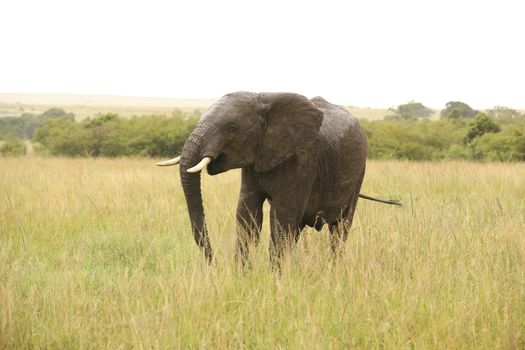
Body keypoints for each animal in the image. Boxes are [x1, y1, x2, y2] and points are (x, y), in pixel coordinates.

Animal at [156, 91, 398, 264]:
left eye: (232, 128)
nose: (211, 261)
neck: (263, 98)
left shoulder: (302, 161)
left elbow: (281, 216)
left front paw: (276, 280)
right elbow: (247, 215)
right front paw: (242, 278)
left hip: (358, 173)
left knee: (339, 229)